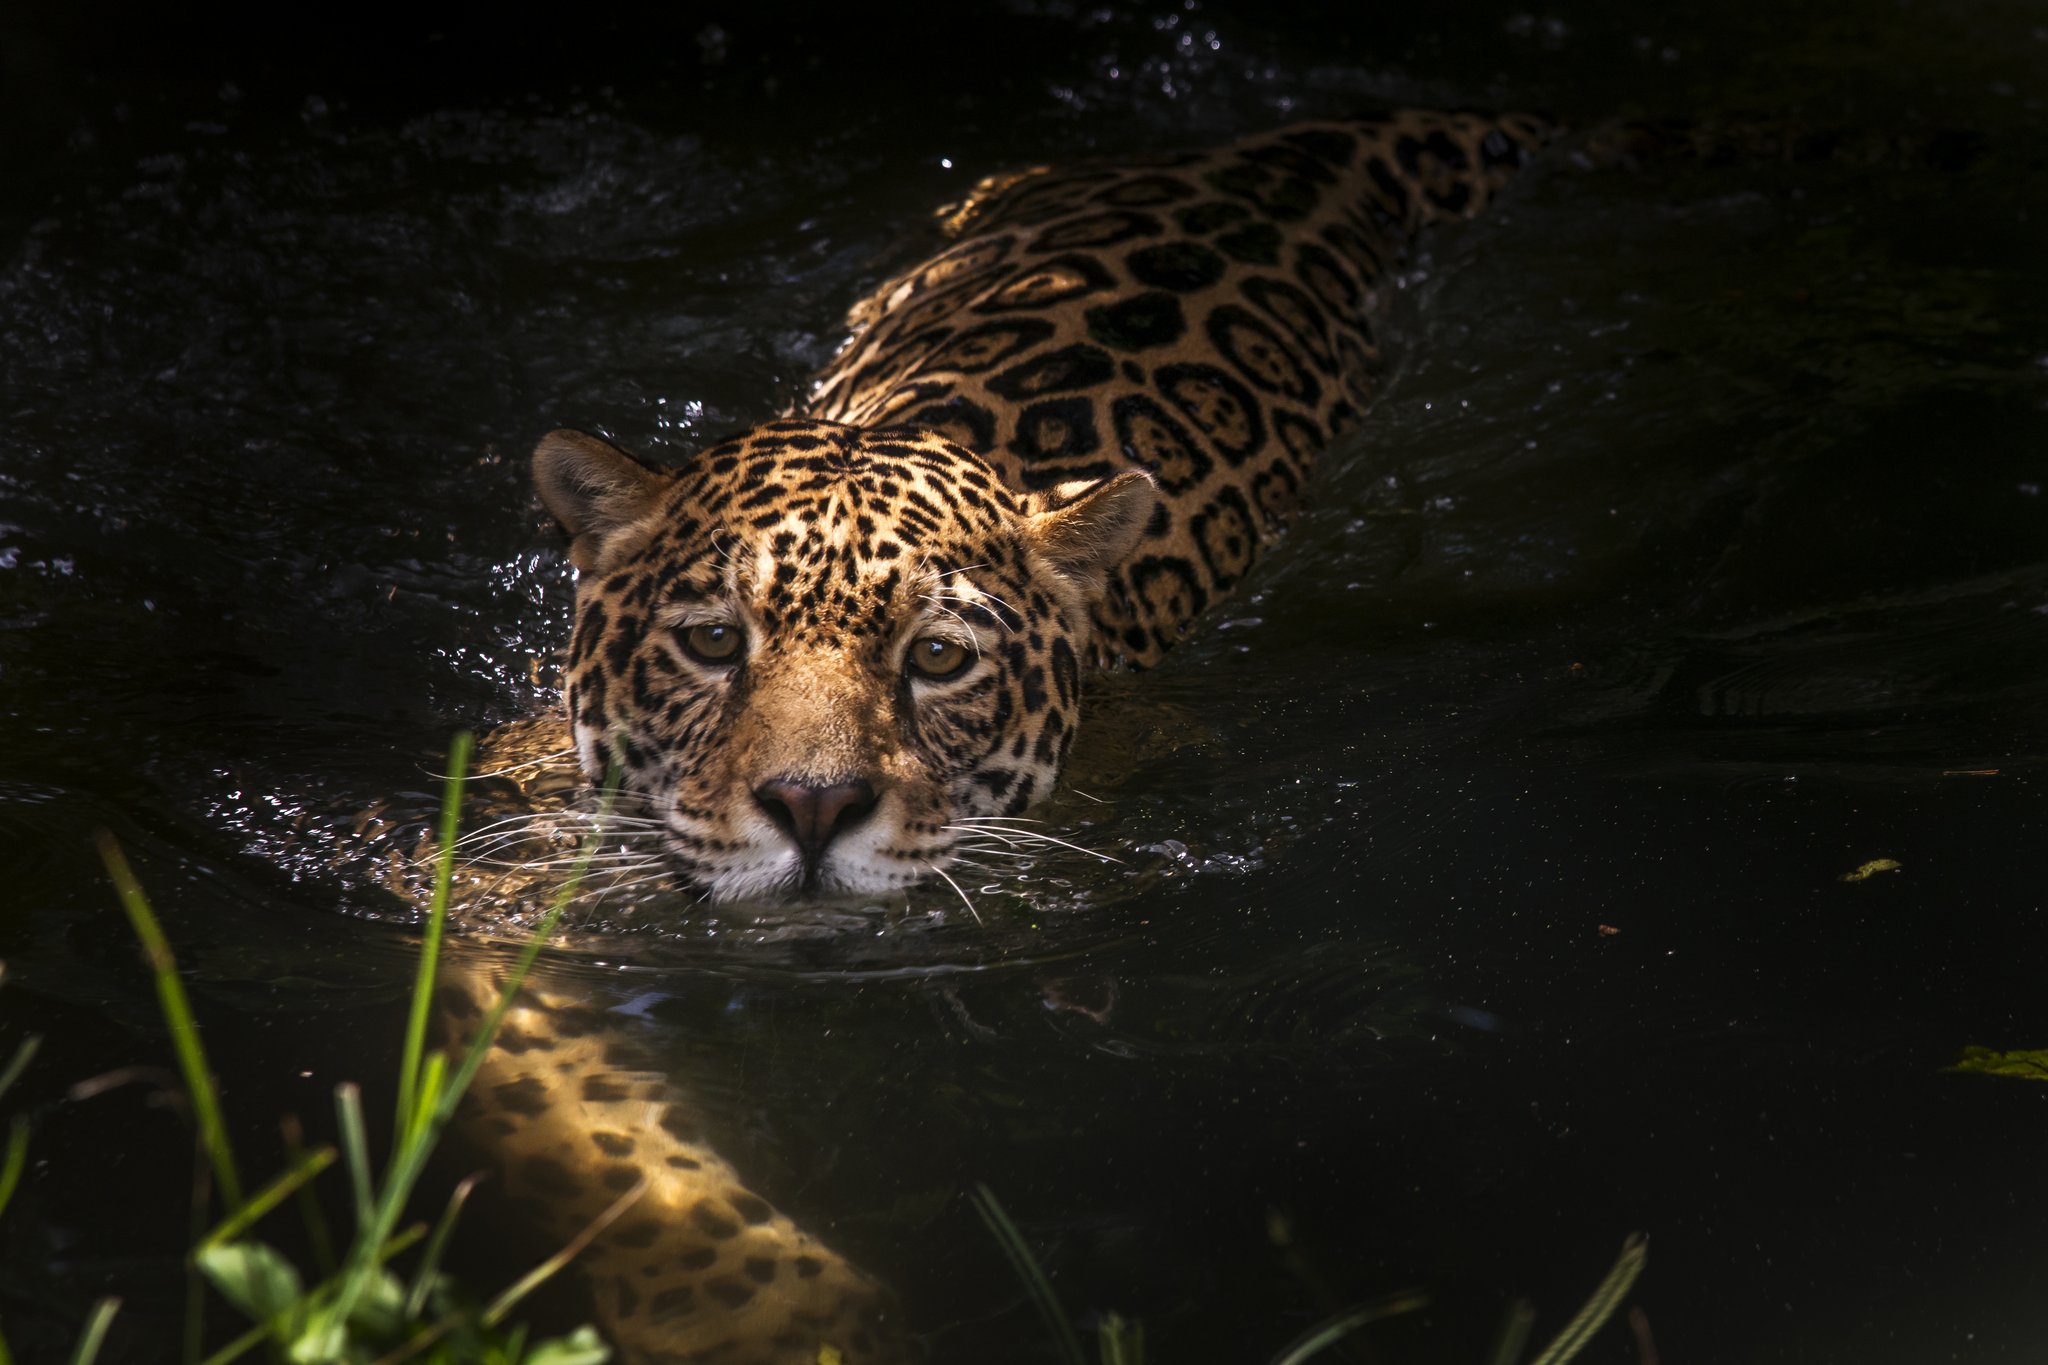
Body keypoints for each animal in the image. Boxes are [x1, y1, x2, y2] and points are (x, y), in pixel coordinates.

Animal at [429, 109, 1554, 1365]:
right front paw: (765, 1311)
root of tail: (1303, 139)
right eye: (714, 642)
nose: (812, 806)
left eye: (936, 658)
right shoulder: (487, 886)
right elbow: (592, 1130)